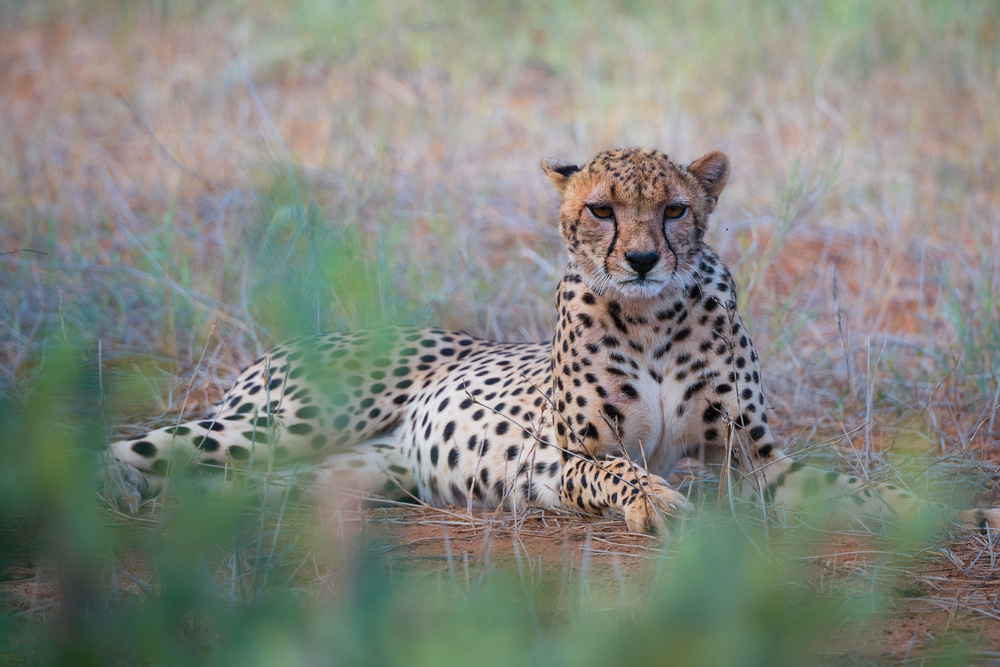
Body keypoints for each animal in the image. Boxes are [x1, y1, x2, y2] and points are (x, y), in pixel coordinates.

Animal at [104, 147, 999, 534]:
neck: (655, 315)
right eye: (602, 209)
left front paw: (960, 514)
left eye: (674, 209)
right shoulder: (561, 457)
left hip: (329, 474)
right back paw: (105, 490)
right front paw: (657, 501)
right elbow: (616, 469)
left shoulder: (756, 461)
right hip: (281, 424)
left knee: (217, 484)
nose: (640, 257)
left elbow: (862, 489)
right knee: (139, 443)